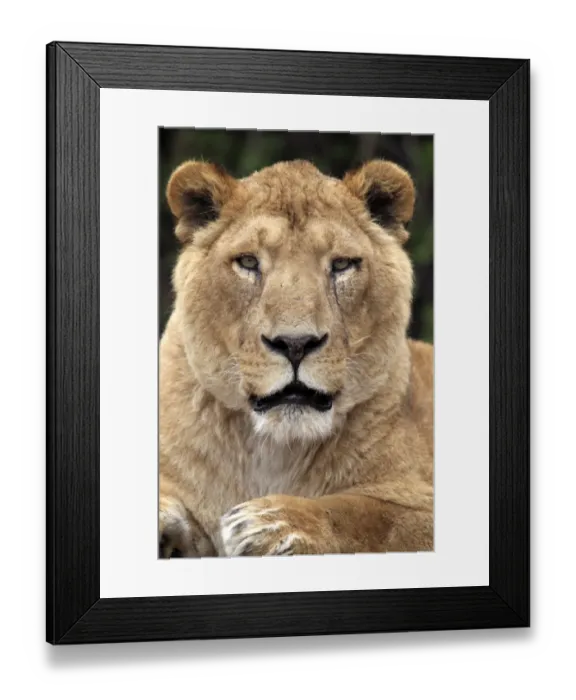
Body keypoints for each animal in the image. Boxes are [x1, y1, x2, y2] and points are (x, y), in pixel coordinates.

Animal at [158, 158, 434, 558]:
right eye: (248, 262)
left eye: (342, 265)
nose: (295, 344)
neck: (273, 448)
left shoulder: (419, 501)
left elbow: (371, 513)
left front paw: (274, 520)